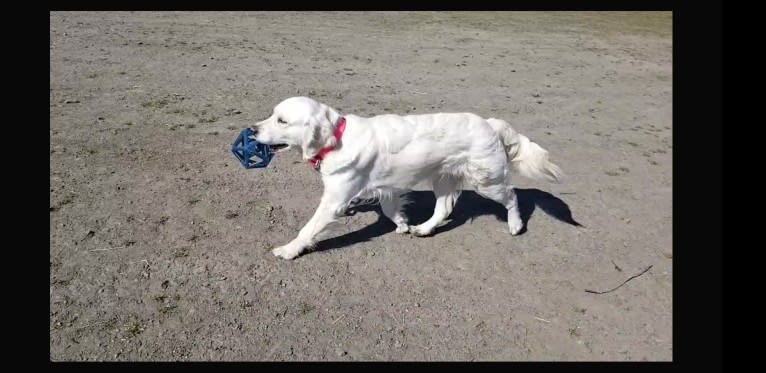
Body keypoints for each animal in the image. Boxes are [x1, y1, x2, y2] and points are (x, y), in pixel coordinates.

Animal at [252, 96, 564, 258]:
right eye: (272, 114)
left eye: (282, 120)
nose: (252, 130)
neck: (337, 137)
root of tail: (490, 123)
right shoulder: (387, 186)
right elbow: (391, 209)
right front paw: (402, 224)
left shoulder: (334, 200)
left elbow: (308, 229)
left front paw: (289, 249)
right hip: (444, 178)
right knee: (444, 208)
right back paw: (424, 228)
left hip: (486, 182)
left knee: (511, 196)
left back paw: (515, 225)